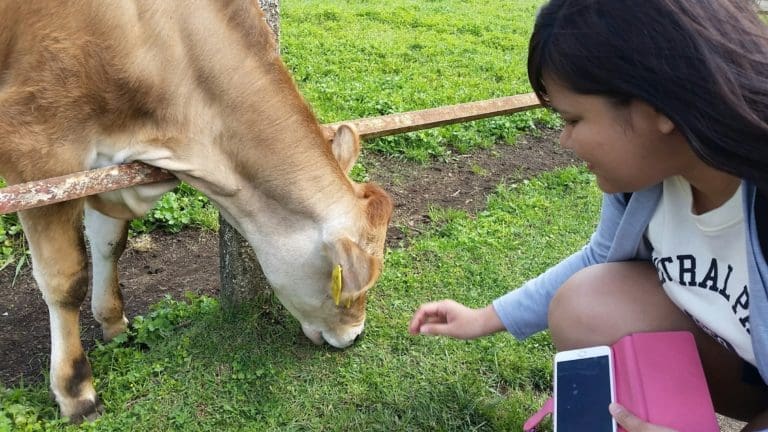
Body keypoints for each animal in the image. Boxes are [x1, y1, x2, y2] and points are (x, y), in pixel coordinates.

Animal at [0, 0, 392, 420]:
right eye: (347, 289)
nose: (355, 336)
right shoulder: (40, 152)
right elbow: (66, 280)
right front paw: (76, 391)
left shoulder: (107, 170)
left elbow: (109, 244)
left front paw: (114, 324)